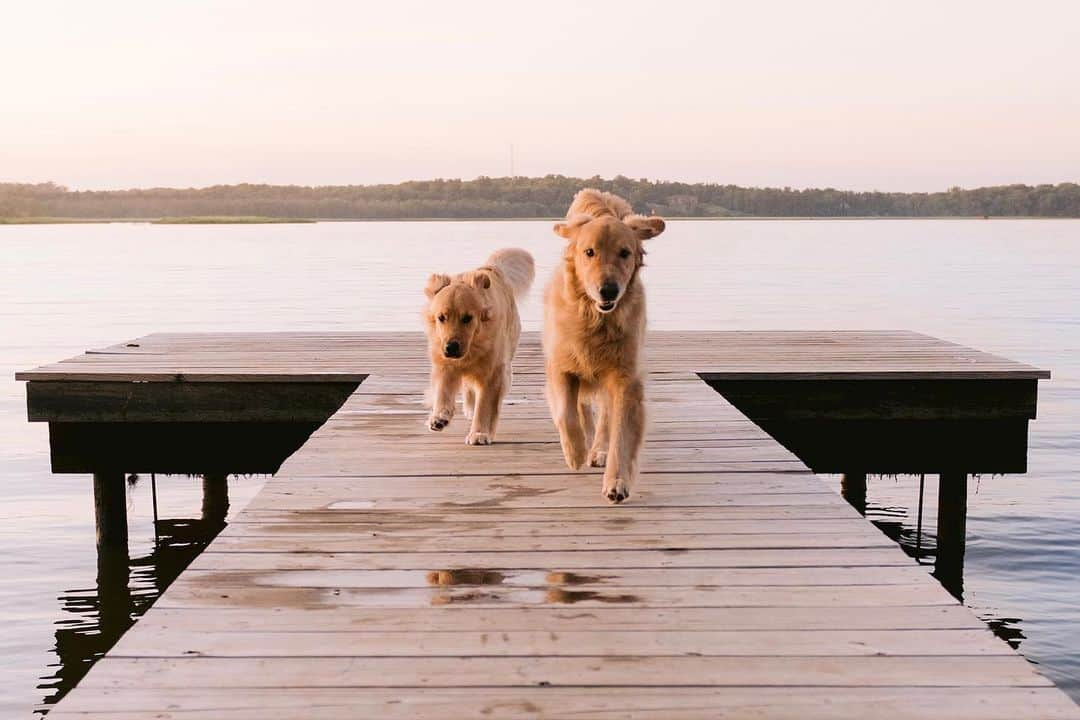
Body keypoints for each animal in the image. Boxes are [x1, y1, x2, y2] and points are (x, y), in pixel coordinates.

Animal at [425, 248, 535, 444]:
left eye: (467, 318)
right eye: (441, 318)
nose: (451, 347)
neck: (473, 347)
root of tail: (491, 268)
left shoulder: (493, 371)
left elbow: (484, 405)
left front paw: (479, 433)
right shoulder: (444, 363)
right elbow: (443, 390)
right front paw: (439, 417)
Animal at [544, 191, 660, 507]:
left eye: (625, 253)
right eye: (589, 252)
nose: (608, 290)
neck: (596, 320)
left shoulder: (625, 379)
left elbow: (621, 435)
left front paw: (616, 482)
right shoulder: (560, 367)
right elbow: (566, 413)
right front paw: (575, 452)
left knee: (606, 418)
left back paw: (598, 450)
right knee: (582, 407)